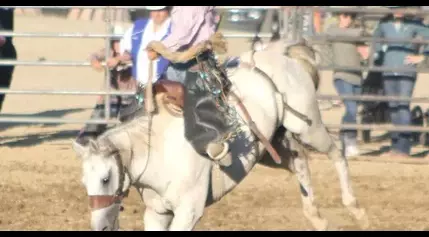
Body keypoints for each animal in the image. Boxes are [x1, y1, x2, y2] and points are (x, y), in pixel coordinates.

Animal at [72, 41, 366, 231]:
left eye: (106, 178)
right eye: (85, 182)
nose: (100, 227)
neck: (158, 153)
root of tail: (284, 56)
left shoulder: (188, 212)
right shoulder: (157, 213)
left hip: (307, 125)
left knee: (337, 154)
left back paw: (356, 209)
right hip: (272, 146)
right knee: (301, 163)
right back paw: (317, 218)